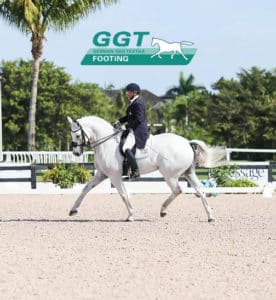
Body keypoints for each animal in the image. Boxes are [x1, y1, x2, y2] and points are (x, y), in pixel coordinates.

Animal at [67, 116, 226, 221]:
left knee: (177, 190)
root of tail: (187, 142)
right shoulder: (101, 174)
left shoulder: (114, 176)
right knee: (200, 191)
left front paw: (130, 215)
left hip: (170, 175)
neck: (107, 144)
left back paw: (163, 211)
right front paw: (73, 210)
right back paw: (210, 216)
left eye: (77, 135)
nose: (76, 153)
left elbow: (123, 195)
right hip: (189, 173)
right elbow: (85, 189)